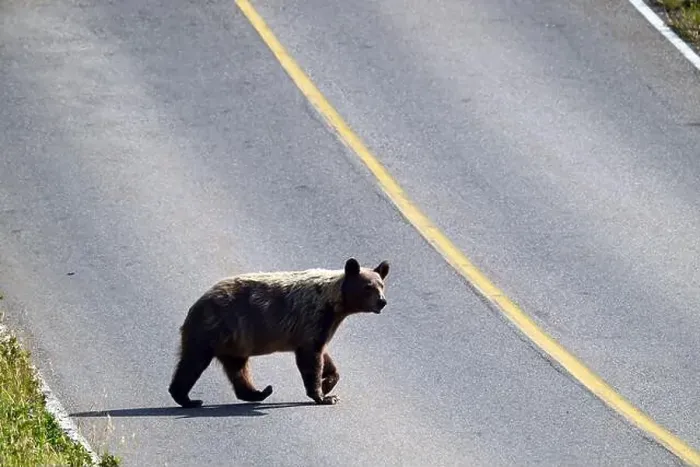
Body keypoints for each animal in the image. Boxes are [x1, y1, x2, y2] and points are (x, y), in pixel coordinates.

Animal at [168, 257, 390, 408]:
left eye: (382, 284)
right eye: (368, 286)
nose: (382, 301)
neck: (335, 305)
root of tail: (198, 303)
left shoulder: (322, 326)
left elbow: (324, 355)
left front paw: (328, 383)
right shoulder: (312, 318)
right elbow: (311, 358)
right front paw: (324, 396)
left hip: (234, 342)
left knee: (237, 369)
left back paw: (259, 392)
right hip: (215, 329)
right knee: (193, 362)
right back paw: (187, 398)